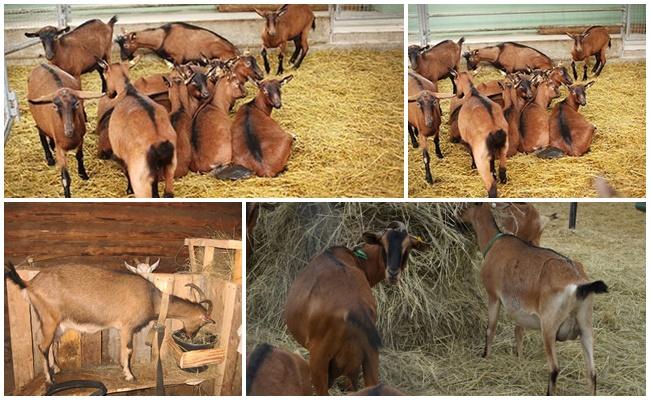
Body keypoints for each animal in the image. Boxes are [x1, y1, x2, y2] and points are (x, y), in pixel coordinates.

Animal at [5, 262, 214, 384]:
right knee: (42, 345)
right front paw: (129, 374)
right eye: (202, 322)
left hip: (56, 324)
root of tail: (30, 284)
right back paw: (49, 379)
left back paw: (55, 368)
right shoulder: (127, 327)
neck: (152, 298)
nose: (190, 336)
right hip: (49, 319)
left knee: (48, 345)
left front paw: (124, 370)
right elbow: (128, 350)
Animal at [27, 63, 102, 198]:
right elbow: (65, 178)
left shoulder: (80, 140)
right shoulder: (60, 149)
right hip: (37, 120)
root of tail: (41, 64)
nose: (69, 131)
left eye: (77, 104)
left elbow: (79, 156)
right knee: (41, 134)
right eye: (55, 106)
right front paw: (67, 195)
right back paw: (50, 158)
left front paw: (83, 174)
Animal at [97, 59, 176, 197]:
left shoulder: (120, 154)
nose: (108, 94)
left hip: (140, 181)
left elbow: (126, 171)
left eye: (105, 74)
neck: (129, 92)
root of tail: (159, 144)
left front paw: (129, 190)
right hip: (170, 168)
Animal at [284, 223, 426, 396]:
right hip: (370, 355)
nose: (393, 273)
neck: (357, 259)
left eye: (408, 247)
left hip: (318, 359)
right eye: (383, 244)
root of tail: (356, 309)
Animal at [458, 205, 604, 396]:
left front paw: (485, 356)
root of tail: (579, 285)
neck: (495, 242)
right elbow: (519, 332)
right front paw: (519, 359)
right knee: (592, 373)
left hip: (549, 328)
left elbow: (491, 328)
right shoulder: (520, 309)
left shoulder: (493, 296)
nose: (456, 216)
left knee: (554, 369)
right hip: (586, 328)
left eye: (466, 206)